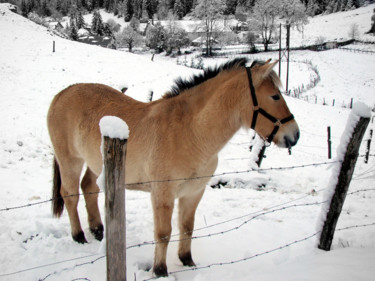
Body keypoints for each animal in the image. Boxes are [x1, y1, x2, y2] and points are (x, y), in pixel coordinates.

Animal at [47, 57, 302, 276]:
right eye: (275, 96)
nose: (294, 135)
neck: (190, 131)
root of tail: (62, 94)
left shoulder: (194, 192)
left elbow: (187, 227)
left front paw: (187, 261)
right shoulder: (163, 193)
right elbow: (163, 233)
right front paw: (160, 270)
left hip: (95, 163)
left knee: (89, 188)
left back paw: (99, 231)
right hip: (70, 160)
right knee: (70, 194)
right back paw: (79, 236)